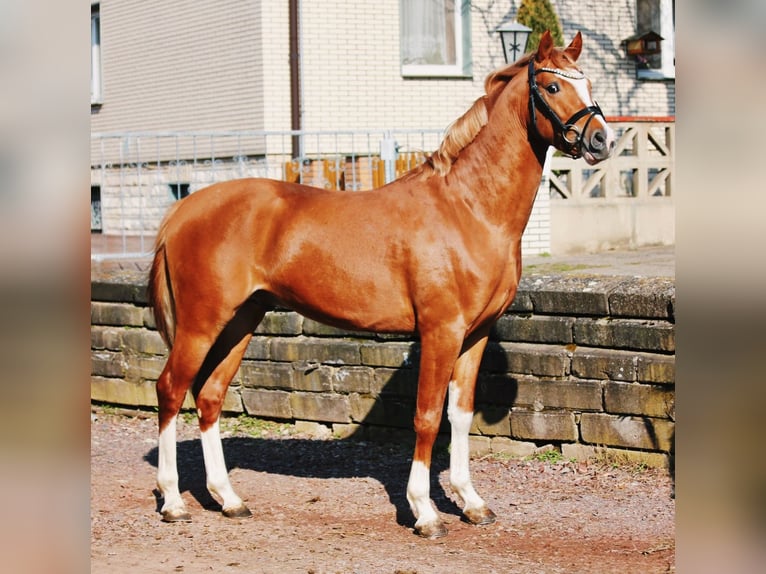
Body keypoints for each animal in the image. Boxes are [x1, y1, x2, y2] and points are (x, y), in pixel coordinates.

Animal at [150, 31, 616, 544]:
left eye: (587, 82)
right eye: (552, 87)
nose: (602, 140)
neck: (468, 208)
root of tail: (183, 208)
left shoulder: (474, 336)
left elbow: (460, 415)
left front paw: (472, 503)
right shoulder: (440, 332)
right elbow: (427, 417)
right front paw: (425, 512)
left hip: (241, 320)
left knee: (209, 395)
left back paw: (228, 499)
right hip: (201, 323)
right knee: (171, 390)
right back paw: (173, 502)